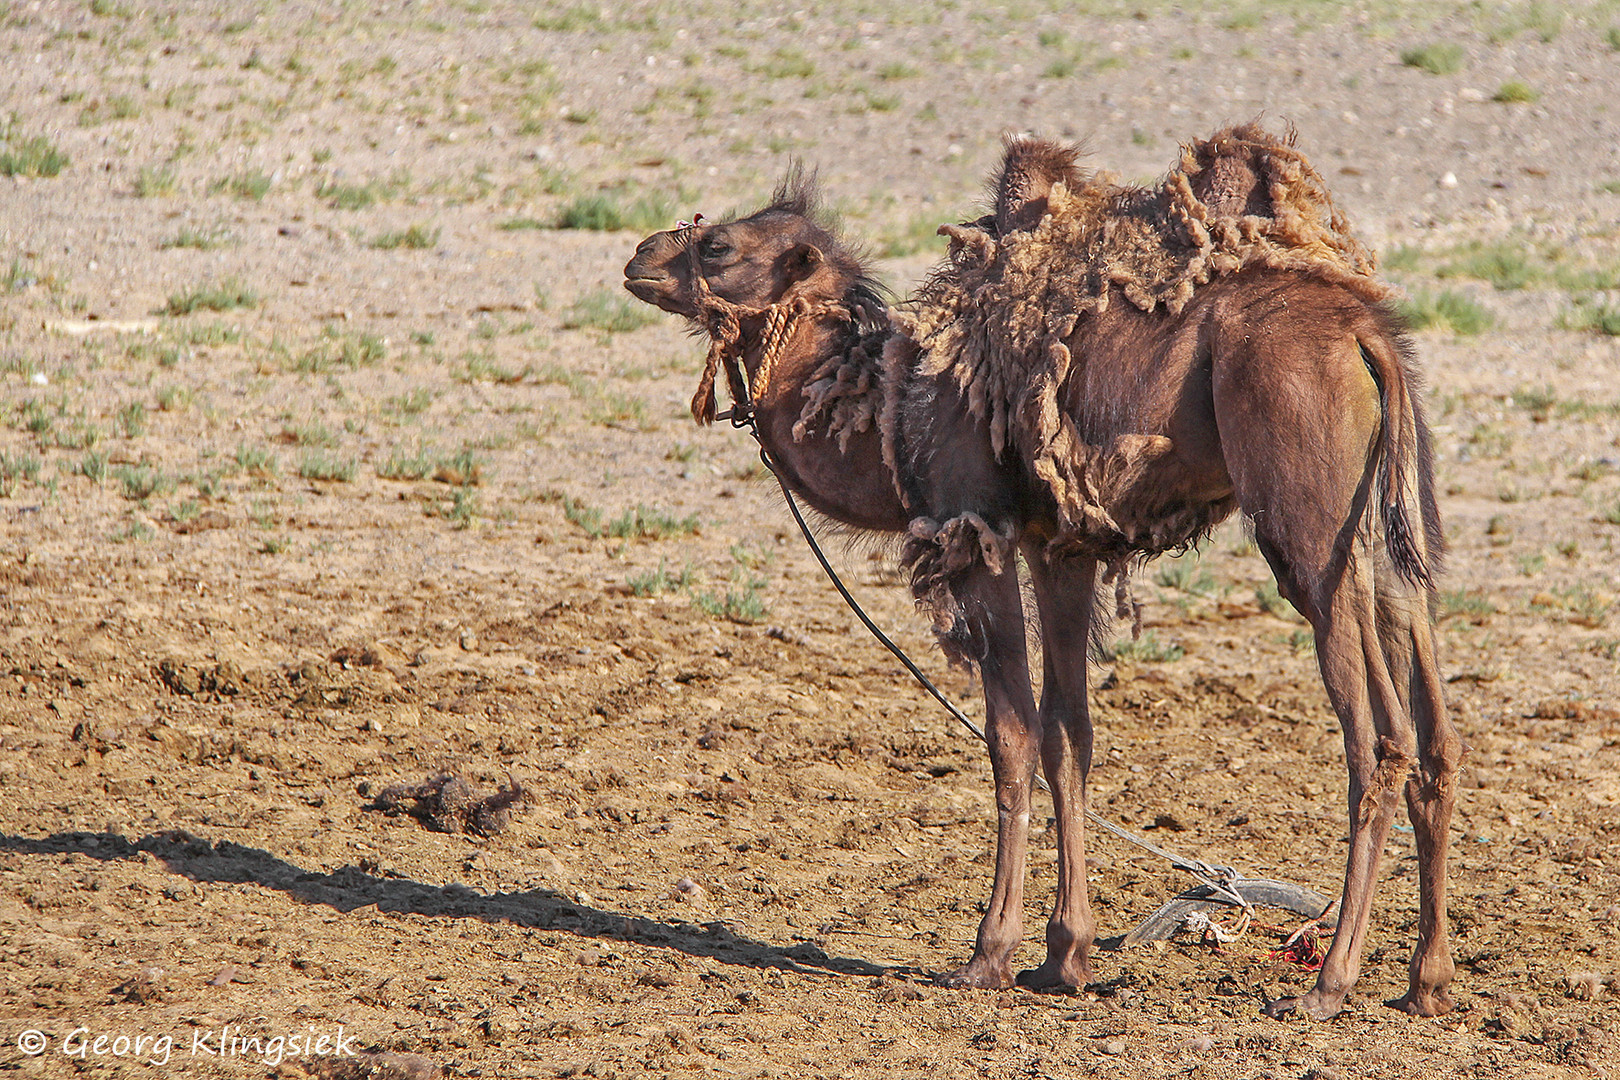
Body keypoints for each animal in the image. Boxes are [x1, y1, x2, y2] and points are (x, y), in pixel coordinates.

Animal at [625, 127, 1464, 1023]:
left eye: (718, 245)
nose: (640, 255)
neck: (887, 406)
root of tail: (1367, 337)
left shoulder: (974, 530)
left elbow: (1013, 736)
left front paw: (988, 953)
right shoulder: (1059, 547)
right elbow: (1071, 735)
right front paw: (1065, 955)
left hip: (1306, 524)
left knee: (1375, 739)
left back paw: (1328, 983)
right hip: (1383, 523)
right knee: (1433, 718)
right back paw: (1427, 980)